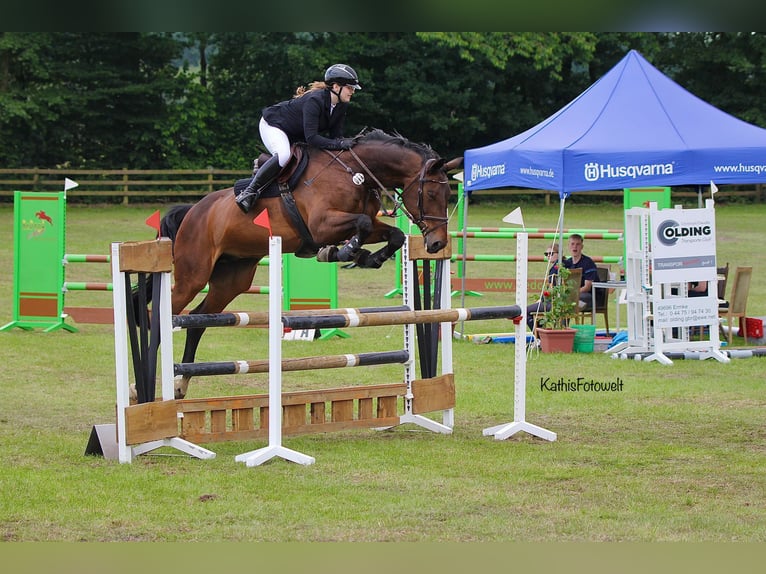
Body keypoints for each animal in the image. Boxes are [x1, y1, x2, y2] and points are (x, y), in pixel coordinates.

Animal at [150, 130, 462, 400]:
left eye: (448, 196)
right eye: (431, 195)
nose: (437, 244)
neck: (355, 174)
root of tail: (193, 210)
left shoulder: (369, 224)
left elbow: (393, 234)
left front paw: (367, 257)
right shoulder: (322, 224)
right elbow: (360, 224)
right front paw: (343, 251)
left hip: (231, 280)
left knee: (197, 321)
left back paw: (180, 385)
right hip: (193, 276)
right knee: (161, 314)